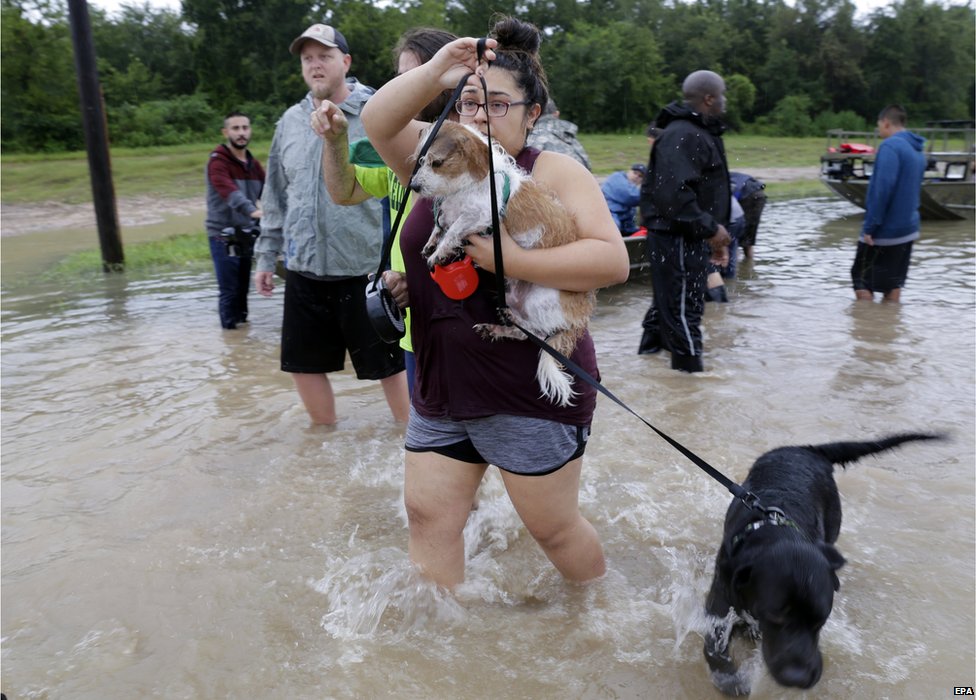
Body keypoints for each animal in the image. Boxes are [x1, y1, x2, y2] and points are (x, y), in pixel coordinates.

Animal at [406, 119, 592, 404]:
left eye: (437, 163)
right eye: (421, 160)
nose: (414, 186)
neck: (466, 186)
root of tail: (577, 318)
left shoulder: (480, 215)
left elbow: (453, 230)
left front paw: (440, 252)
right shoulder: (451, 211)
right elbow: (441, 226)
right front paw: (432, 243)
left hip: (539, 299)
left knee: (536, 333)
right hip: (513, 295)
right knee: (523, 331)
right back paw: (497, 326)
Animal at [704, 432, 940, 696]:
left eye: (821, 618)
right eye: (774, 615)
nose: (798, 677)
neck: (774, 529)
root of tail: (808, 449)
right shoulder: (720, 601)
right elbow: (713, 648)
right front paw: (730, 680)